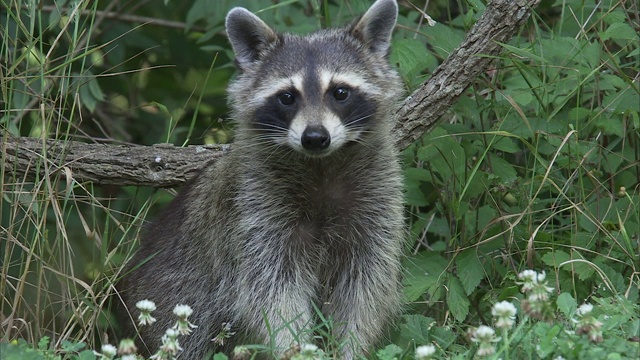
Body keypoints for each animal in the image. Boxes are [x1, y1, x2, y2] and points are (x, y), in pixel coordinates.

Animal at [120, 0, 404, 358]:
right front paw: (295, 347)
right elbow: (272, 292)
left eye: (340, 92)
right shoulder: (254, 210)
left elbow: (364, 287)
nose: (315, 137)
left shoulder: (377, 203)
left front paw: (350, 346)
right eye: (287, 97)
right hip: (171, 295)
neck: (321, 165)